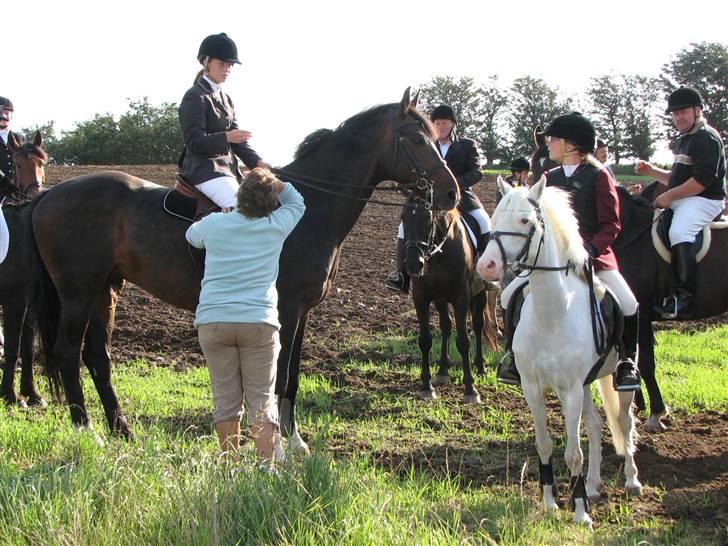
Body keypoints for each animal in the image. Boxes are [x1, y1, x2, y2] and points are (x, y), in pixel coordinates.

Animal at [31, 88, 458, 438]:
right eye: (416, 139)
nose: (451, 193)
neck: (309, 209)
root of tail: (49, 195)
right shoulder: (286, 308)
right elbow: (279, 376)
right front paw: (282, 440)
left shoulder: (303, 311)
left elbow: (292, 376)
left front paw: (293, 438)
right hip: (78, 291)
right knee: (68, 352)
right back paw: (87, 432)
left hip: (106, 290)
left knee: (97, 357)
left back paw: (122, 430)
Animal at [400, 193, 492, 402]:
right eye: (403, 218)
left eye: (428, 218)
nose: (413, 264)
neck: (438, 253)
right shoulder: (421, 298)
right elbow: (425, 340)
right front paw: (427, 386)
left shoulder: (461, 298)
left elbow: (464, 342)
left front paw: (470, 389)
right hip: (441, 300)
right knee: (446, 326)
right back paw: (442, 370)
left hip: (480, 293)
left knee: (478, 325)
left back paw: (480, 366)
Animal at [478, 176, 644, 524]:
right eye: (495, 219)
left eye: (525, 221)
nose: (487, 265)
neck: (551, 314)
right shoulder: (532, 387)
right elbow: (544, 445)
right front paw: (550, 503)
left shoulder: (569, 390)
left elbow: (573, 453)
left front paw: (580, 513)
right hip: (587, 383)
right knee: (595, 426)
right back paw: (592, 486)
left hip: (614, 382)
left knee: (624, 423)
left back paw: (631, 481)